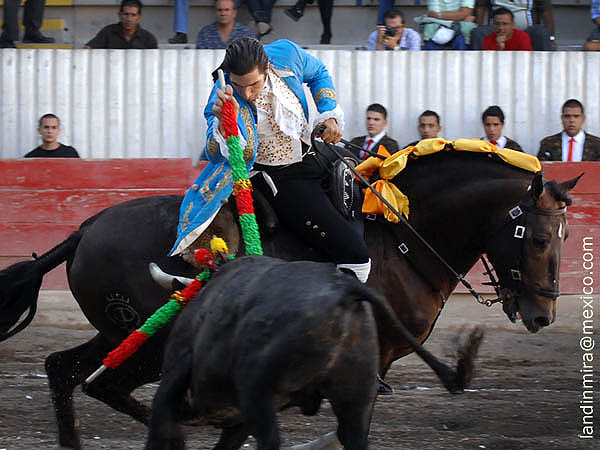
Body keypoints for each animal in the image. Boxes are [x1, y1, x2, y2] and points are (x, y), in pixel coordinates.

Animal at [145, 256, 482, 450]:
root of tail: (346, 290)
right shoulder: (237, 420)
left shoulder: (172, 388)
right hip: (356, 399)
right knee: (354, 437)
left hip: (257, 393)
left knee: (271, 442)